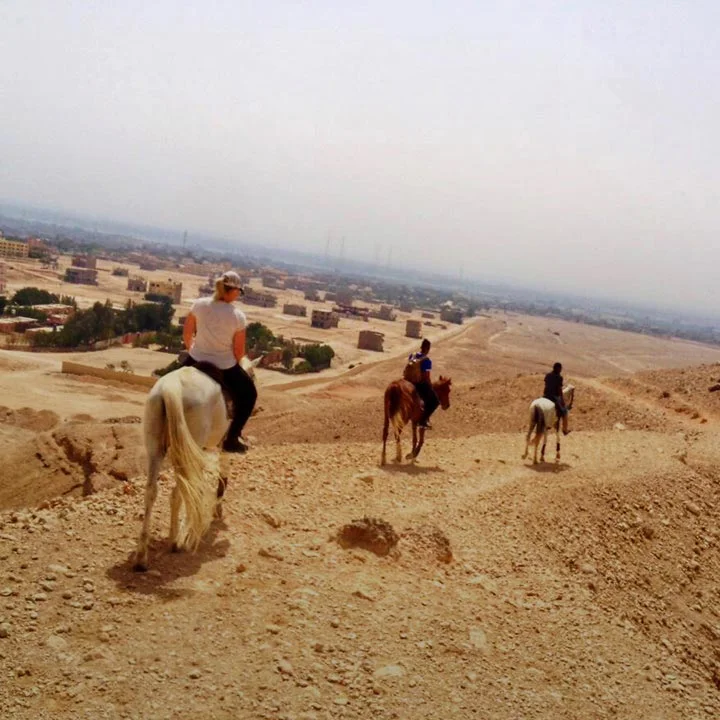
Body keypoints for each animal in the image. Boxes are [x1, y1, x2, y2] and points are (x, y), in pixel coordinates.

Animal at [134, 358, 260, 572]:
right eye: (253, 376)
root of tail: (171, 387)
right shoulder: (222, 445)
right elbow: (222, 477)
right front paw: (216, 510)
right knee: (179, 491)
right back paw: (175, 541)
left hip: (155, 447)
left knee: (151, 492)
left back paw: (142, 557)